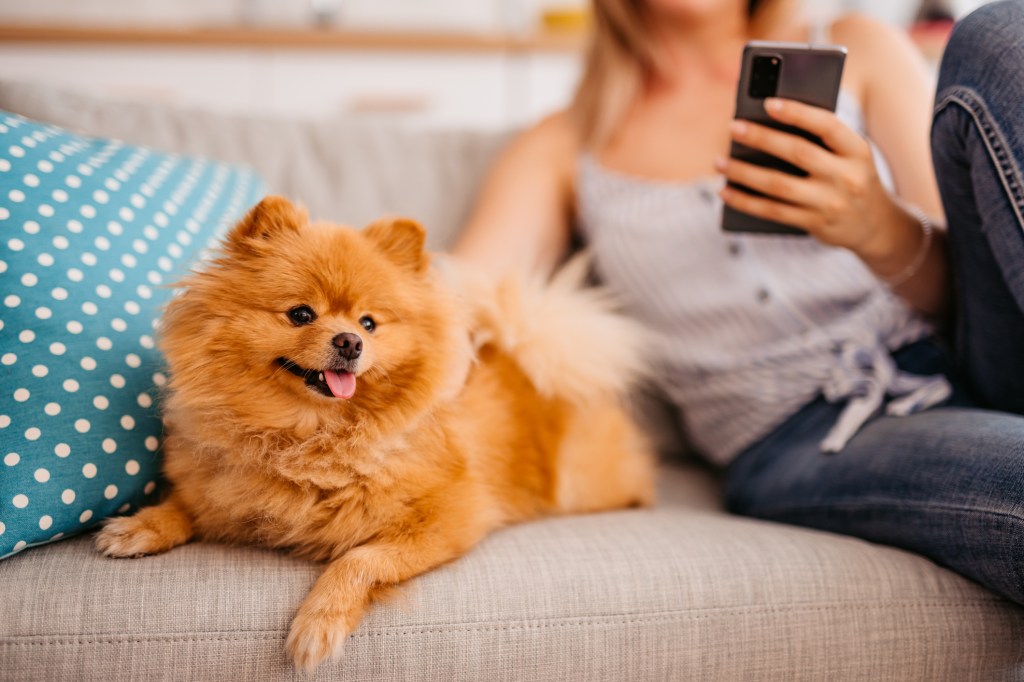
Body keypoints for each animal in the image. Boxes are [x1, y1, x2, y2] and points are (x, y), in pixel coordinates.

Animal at [96, 193, 655, 667]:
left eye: (369, 323)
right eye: (301, 314)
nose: (349, 341)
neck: (310, 437)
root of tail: (524, 352)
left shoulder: (450, 518)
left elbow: (358, 559)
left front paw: (317, 624)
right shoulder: (223, 488)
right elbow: (187, 505)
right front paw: (141, 525)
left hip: (579, 481)